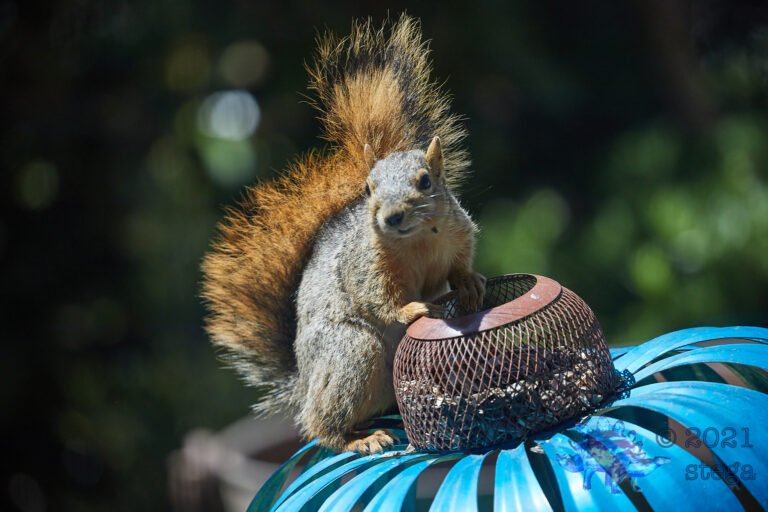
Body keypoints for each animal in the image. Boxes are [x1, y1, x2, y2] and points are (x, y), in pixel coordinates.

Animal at [202, 15, 485, 454]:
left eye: (425, 182)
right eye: (369, 187)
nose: (391, 217)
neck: (417, 242)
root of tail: (304, 383)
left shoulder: (458, 235)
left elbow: (457, 268)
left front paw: (470, 281)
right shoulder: (364, 265)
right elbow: (376, 298)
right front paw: (410, 310)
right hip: (352, 351)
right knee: (321, 425)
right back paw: (360, 440)